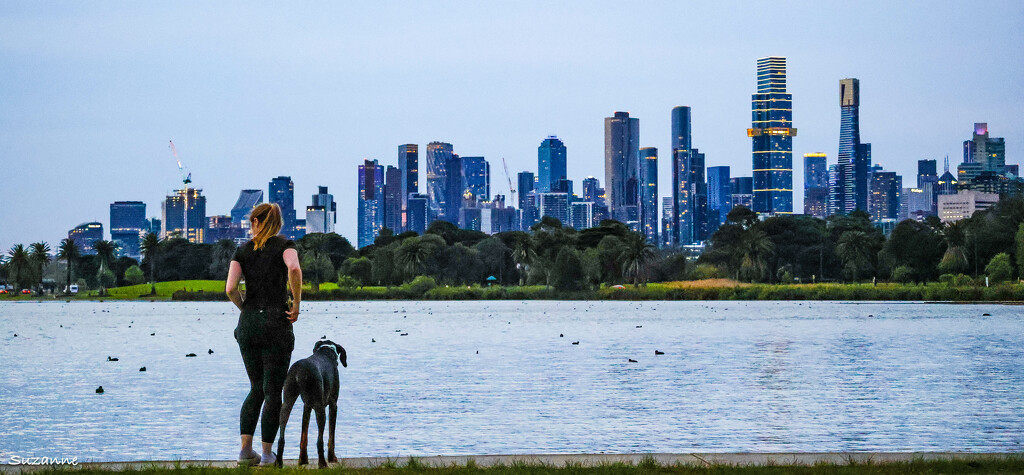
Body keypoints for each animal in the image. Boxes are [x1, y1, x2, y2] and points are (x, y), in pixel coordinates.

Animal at [276, 337, 348, 466]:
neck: (326, 352)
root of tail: (299, 372)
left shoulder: (307, 406)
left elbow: (303, 436)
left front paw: (303, 459)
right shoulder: (333, 404)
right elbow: (331, 435)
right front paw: (332, 457)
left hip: (287, 402)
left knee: (281, 436)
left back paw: (279, 462)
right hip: (320, 408)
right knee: (320, 439)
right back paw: (322, 463)